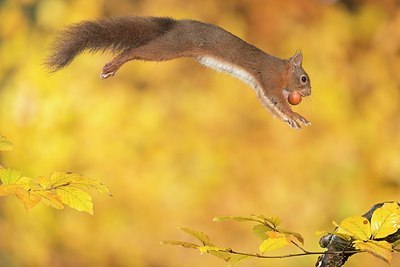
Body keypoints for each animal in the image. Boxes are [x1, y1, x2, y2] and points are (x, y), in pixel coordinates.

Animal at [45, 16, 310, 129]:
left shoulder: (260, 89)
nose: (308, 93)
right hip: (171, 46)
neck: (281, 70)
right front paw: (296, 116)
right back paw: (114, 65)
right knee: (135, 50)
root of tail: (177, 24)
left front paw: (291, 120)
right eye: (304, 78)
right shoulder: (269, 79)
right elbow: (278, 102)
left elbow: (271, 107)